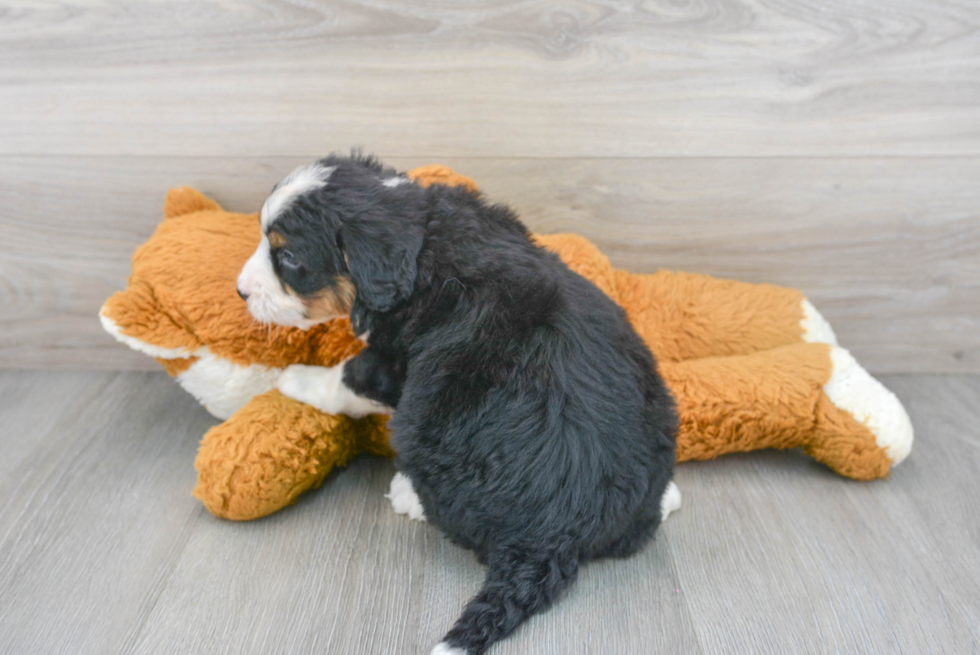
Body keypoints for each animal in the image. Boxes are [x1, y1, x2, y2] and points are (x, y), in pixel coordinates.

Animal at [239, 154, 680, 655]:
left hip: (425, 424)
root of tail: (555, 536)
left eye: (290, 258)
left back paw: (407, 494)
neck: (420, 238)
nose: (240, 291)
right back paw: (667, 498)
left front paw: (294, 378)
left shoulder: (393, 359)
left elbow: (347, 378)